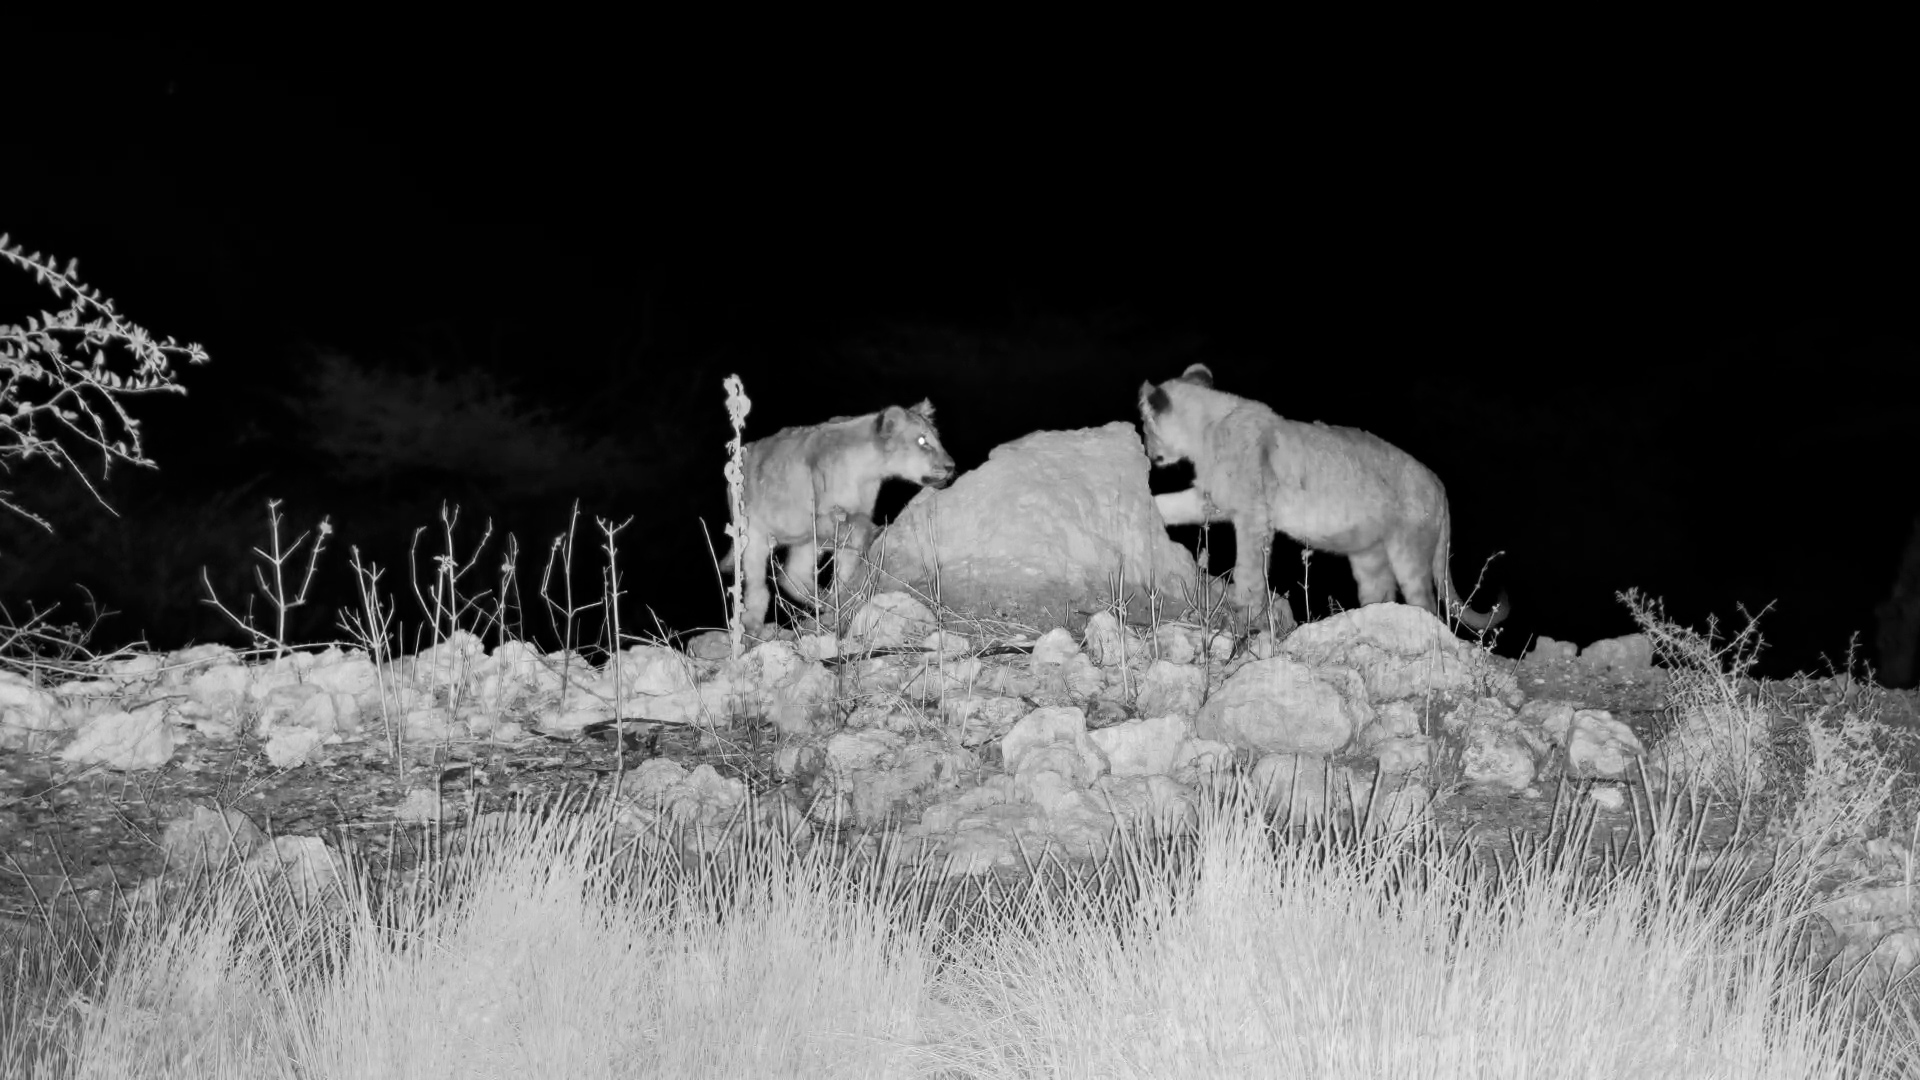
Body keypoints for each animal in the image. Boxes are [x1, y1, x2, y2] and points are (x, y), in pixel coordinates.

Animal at [721, 400, 956, 629]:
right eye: (922, 440)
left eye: (936, 438)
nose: (951, 466)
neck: (868, 472)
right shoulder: (826, 517)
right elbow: (858, 526)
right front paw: (877, 531)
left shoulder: (837, 523)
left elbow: (846, 568)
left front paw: (840, 600)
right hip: (754, 535)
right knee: (758, 586)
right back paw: (753, 624)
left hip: (806, 539)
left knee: (793, 575)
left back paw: (822, 601)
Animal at [1138, 364, 1508, 630]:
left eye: (1144, 424)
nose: (1145, 450)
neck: (1206, 428)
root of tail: (1439, 485)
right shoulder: (1213, 498)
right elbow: (1172, 504)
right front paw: (1146, 502)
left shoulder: (1253, 514)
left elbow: (1248, 565)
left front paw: (1242, 606)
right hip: (1369, 557)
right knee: (1380, 591)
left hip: (1410, 552)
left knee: (1427, 604)